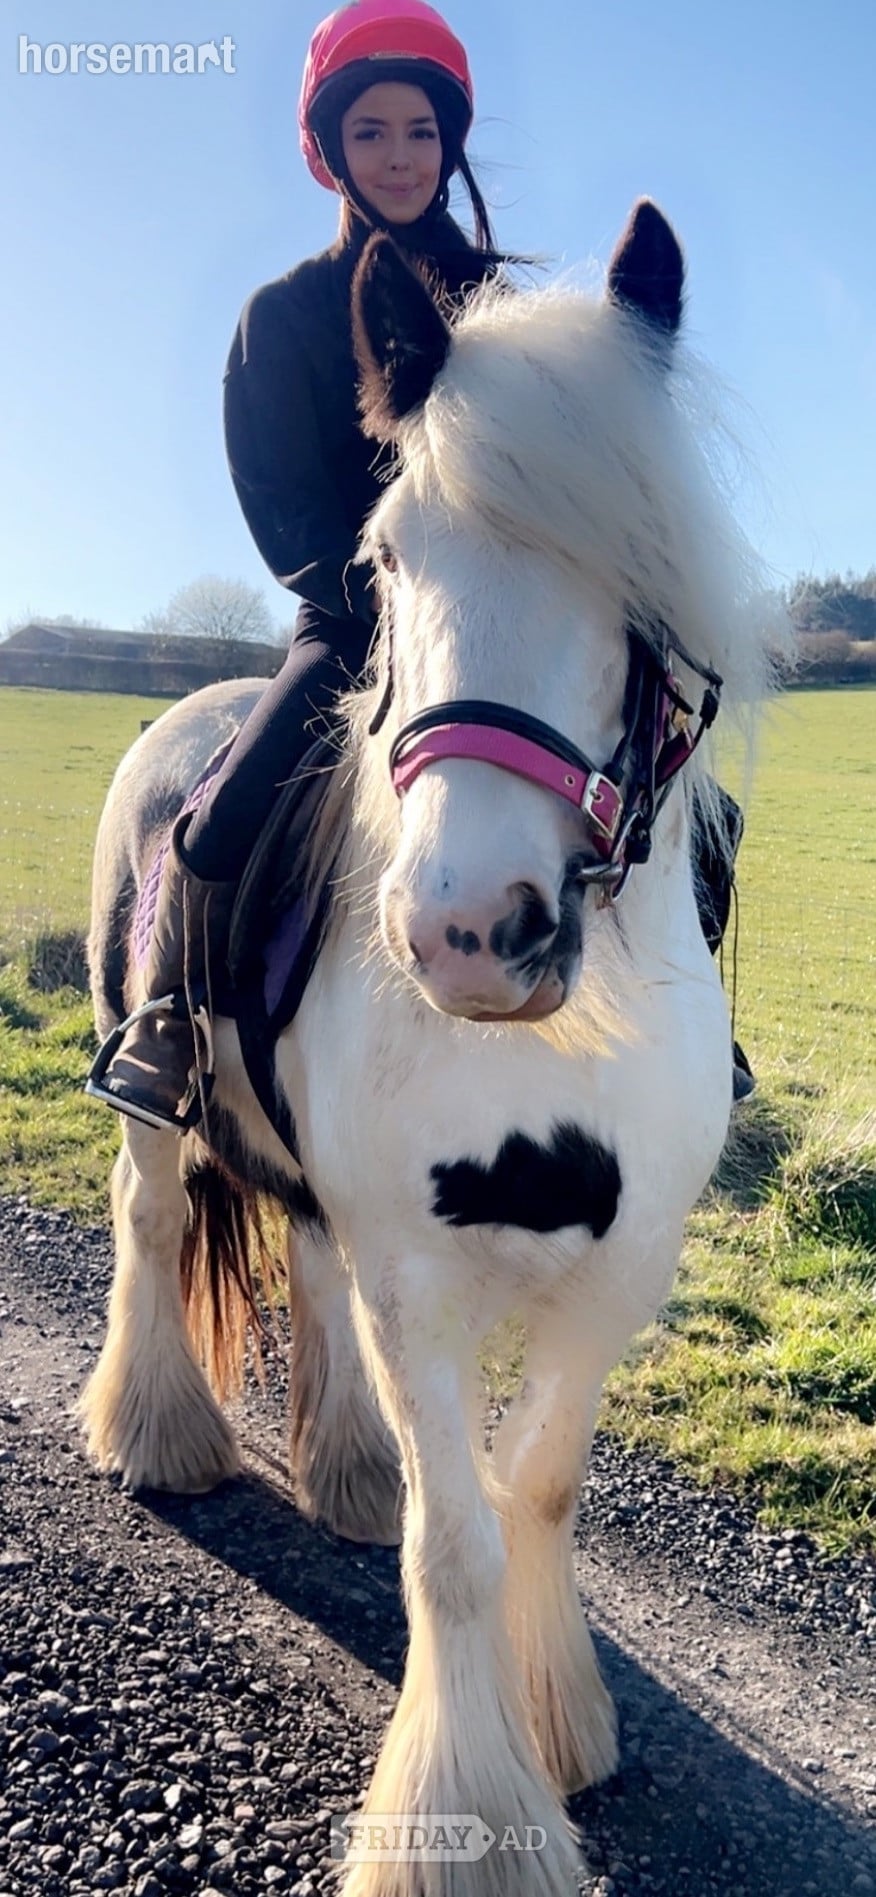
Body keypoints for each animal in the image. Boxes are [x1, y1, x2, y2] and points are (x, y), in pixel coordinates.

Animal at [80, 201, 778, 1897]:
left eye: (640, 558)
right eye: (389, 559)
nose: (470, 927)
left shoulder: (620, 1268)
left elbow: (537, 1485)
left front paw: (556, 1714)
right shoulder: (423, 1280)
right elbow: (451, 1546)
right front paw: (472, 1822)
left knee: (308, 1261)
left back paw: (339, 1467)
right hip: (150, 1101)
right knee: (150, 1222)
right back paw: (164, 1434)